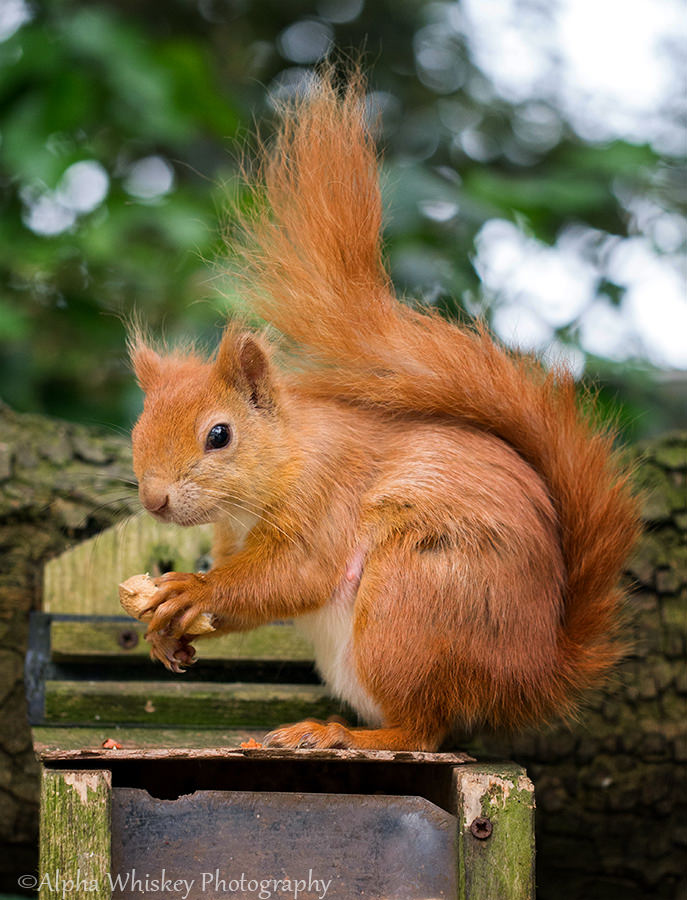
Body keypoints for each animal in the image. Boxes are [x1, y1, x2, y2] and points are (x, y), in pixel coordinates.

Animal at [129, 68, 640, 752]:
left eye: (218, 435)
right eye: (137, 433)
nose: (155, 500)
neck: (288, 455)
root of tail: (532, 673)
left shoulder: (325, 499)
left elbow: (294, 575)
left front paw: (193, 589)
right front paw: (169, 631)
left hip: (409, 602)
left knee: (422, 731)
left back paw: (340, 734)